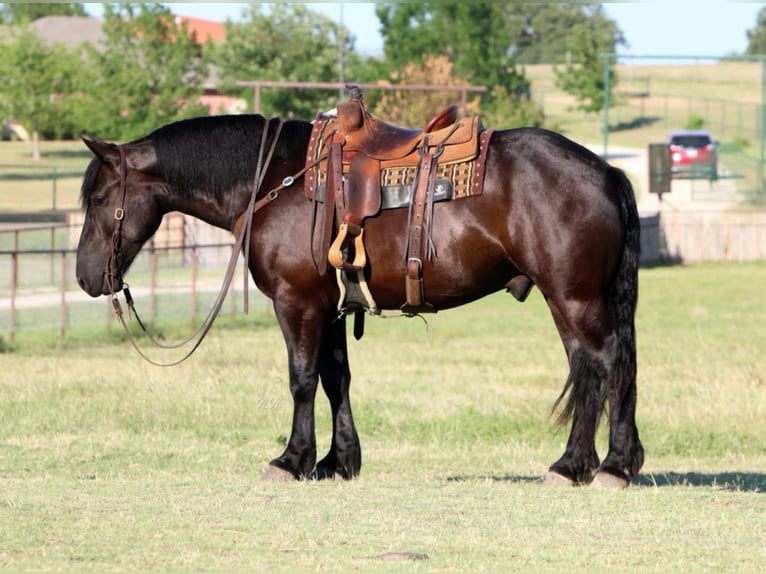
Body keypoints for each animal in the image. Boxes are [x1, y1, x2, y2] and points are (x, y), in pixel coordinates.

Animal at [78, 111, 644, 490]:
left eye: (100, 198)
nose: (85, 276)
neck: (276, 181)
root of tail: (607, 172)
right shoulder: (328, 308)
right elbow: (336, 379)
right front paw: (338, 461)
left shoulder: (297, 302)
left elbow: (302, 380)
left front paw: (292, 460)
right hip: (571, 299)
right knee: (593, 369)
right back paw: (591, 464)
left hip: (573, 297)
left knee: (605, 363)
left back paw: (603, 466)